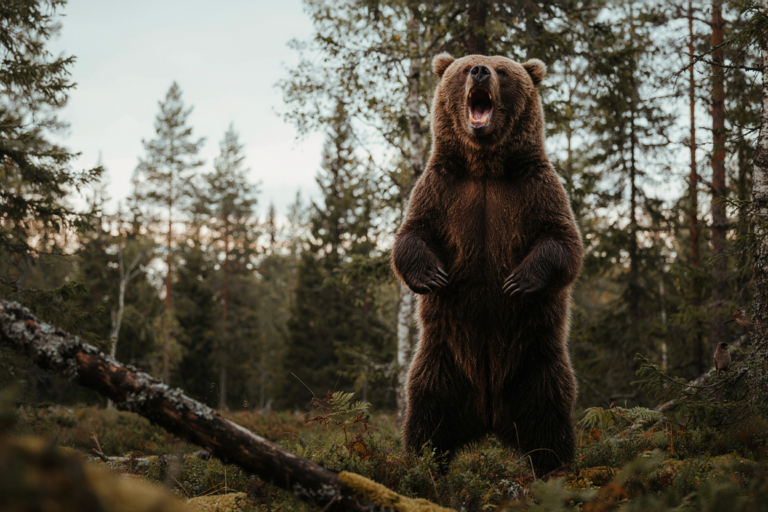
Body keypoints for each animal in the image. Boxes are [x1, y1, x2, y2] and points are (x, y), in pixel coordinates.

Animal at [391, 53, 583, 477]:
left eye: (504, 71)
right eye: (466, 67)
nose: (480, 71)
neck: (484, 167)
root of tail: (489, 416)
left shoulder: (535, 187)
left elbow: (563, 242)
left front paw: (518, 281)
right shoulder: (441, 188)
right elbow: (411, 235)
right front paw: (432, 274)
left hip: (536, 363)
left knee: (550, 417)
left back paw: (558, 469)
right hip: (441, 361)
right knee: (426, 414)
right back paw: (418, 466)